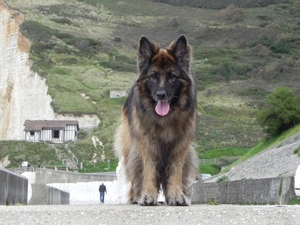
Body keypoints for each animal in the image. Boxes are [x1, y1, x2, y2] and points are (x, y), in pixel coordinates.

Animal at [114, 34, 197, 206]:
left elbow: (175, 172)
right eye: (153, 76)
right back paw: (135, 196)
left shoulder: (180, 145)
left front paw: (176, 195)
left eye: (172, 76)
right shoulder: (147, 145)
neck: (165, 119)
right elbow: (149, 171)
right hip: (131, 149)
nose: (160, 94)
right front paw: (147, 196)